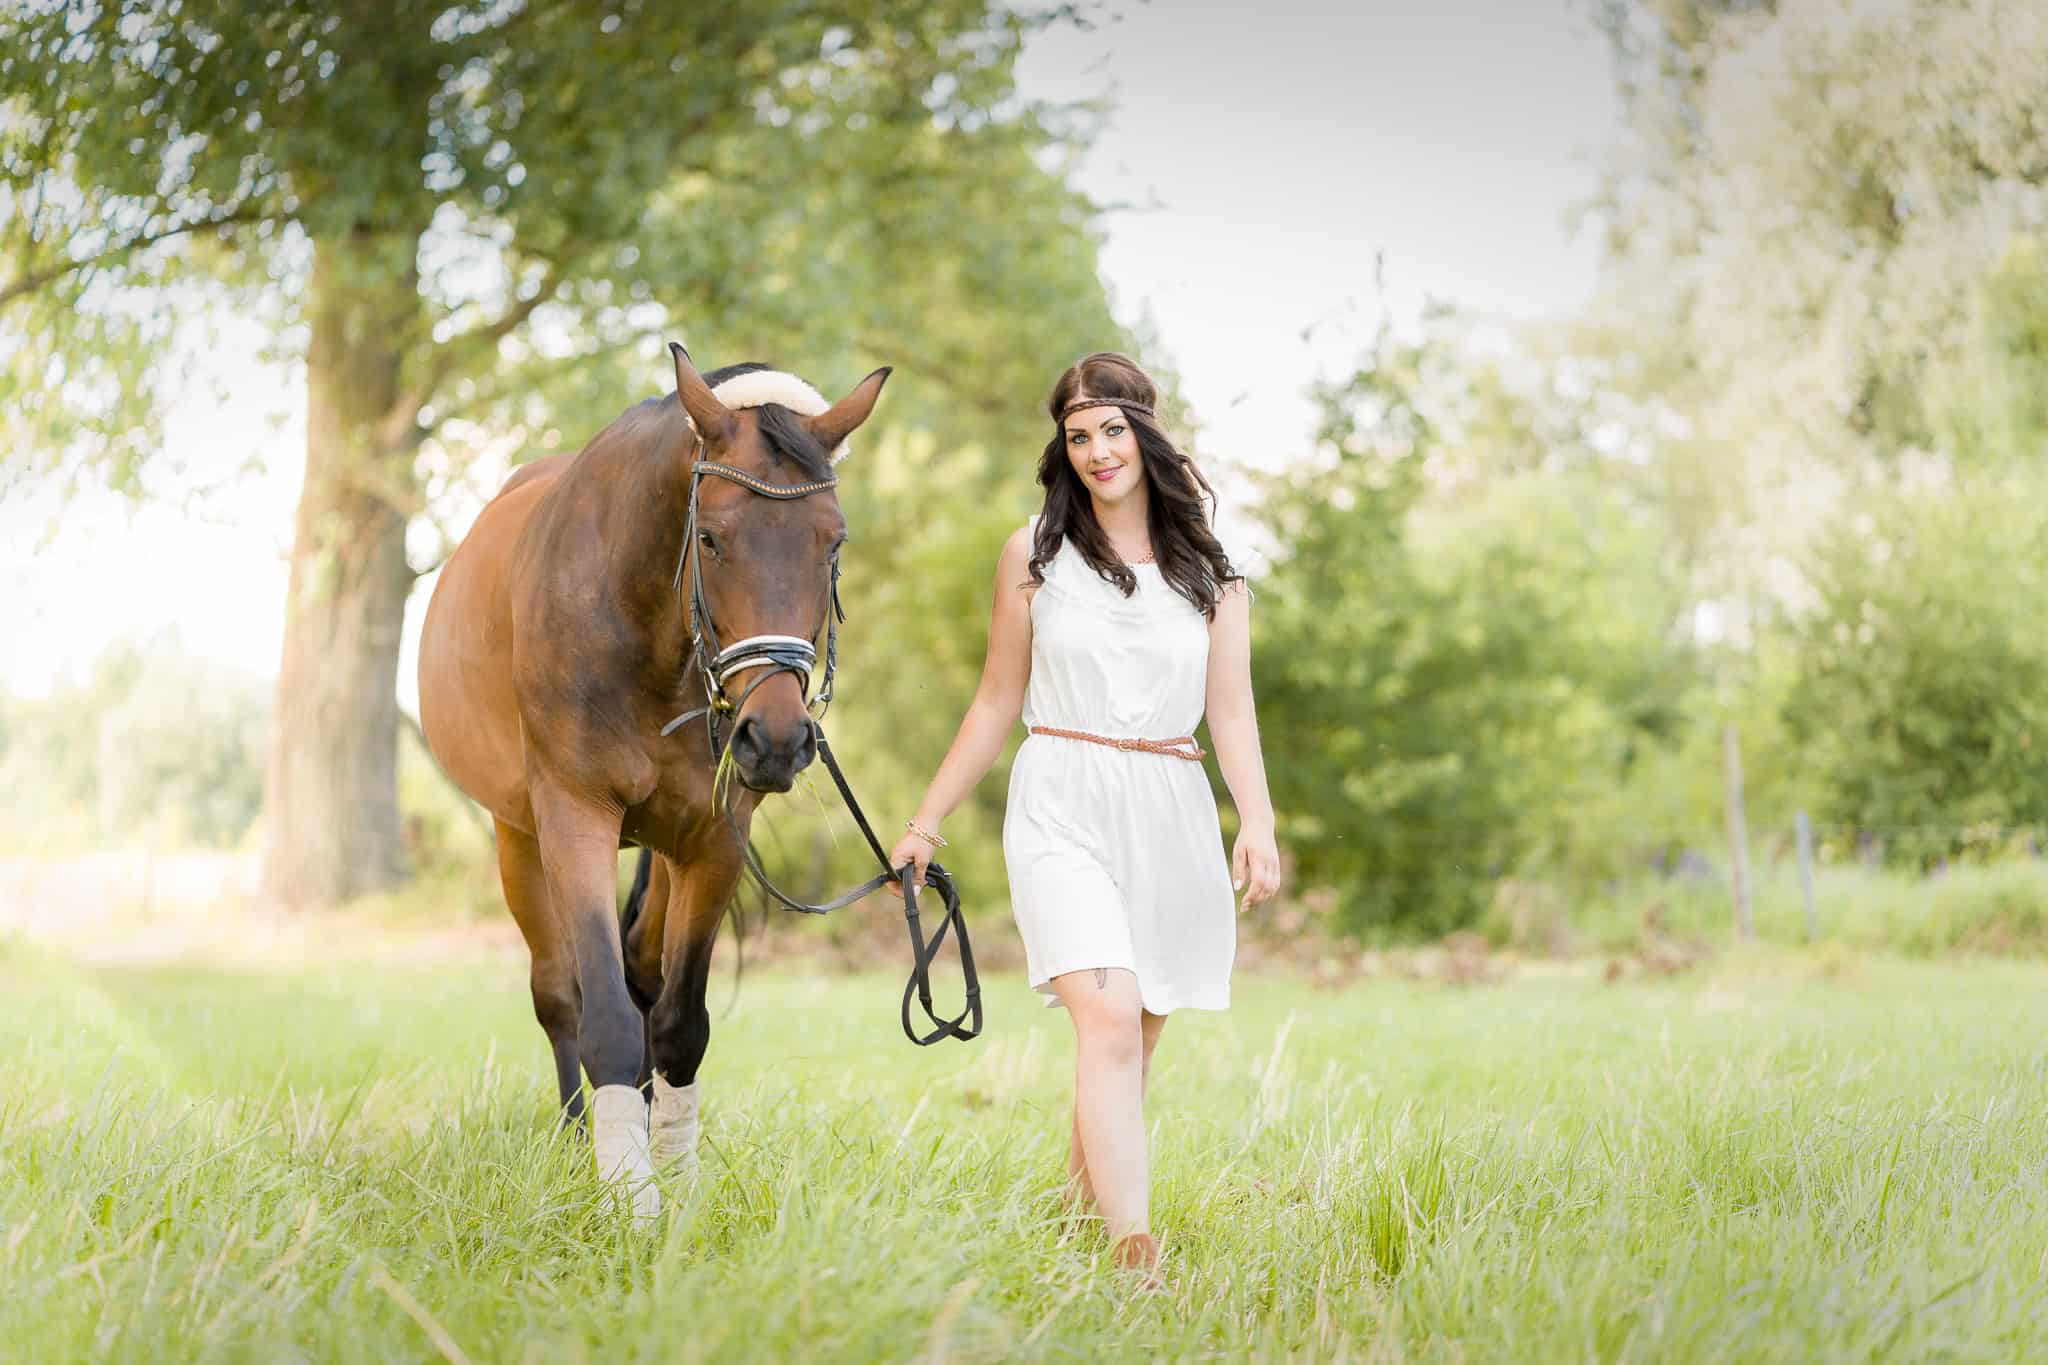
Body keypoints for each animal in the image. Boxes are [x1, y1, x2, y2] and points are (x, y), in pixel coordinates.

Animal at [417, 343, 888, 1219]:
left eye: (833, 543)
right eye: (709, 537)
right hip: (516, 835)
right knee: (559, 991)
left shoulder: (714, 838)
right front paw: (627, 1196)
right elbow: (600, 1010)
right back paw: (581, 1143)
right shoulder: (575, 816)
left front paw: (675, 1178)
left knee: (643, 974)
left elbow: (678, 1022)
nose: (776, 738)